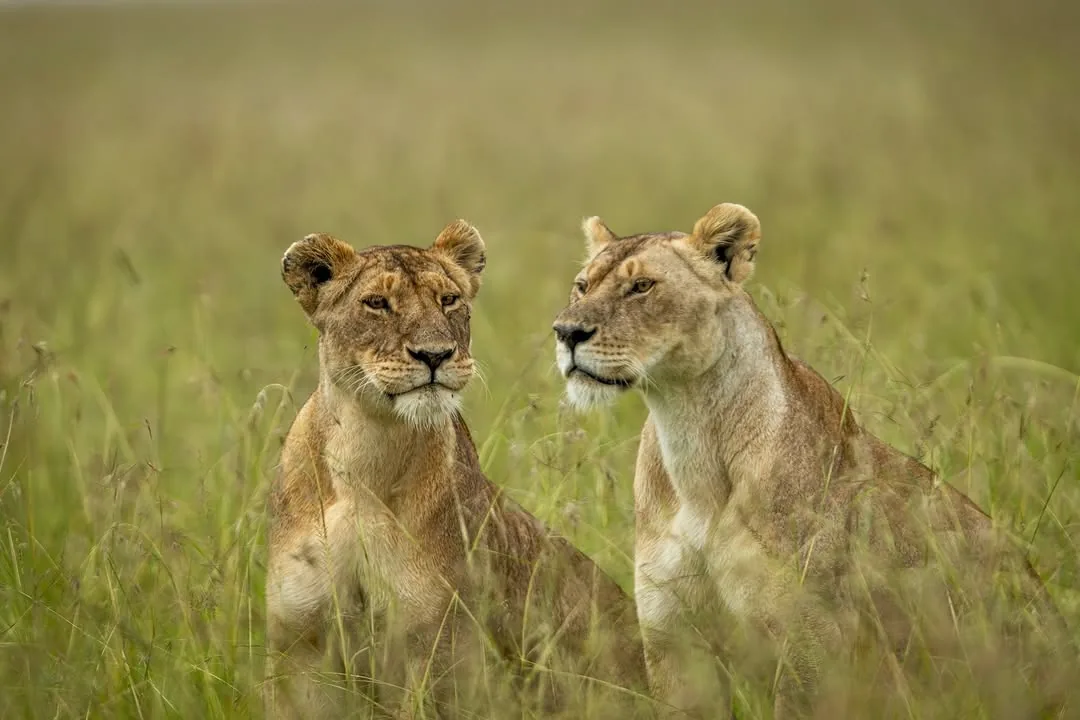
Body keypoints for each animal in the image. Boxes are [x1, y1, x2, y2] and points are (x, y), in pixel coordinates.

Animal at [264, 222, 649, 720]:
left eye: (448, 300)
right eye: (377, 303)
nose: (435, 355)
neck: (365, 452)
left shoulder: (441, 651)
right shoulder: (301, 647)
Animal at [551, 203, 1075, 719]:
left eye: (642, 286)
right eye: (582, 285)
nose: (566, 332)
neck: (688, 433)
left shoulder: (809, 644)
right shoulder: (673, 639)